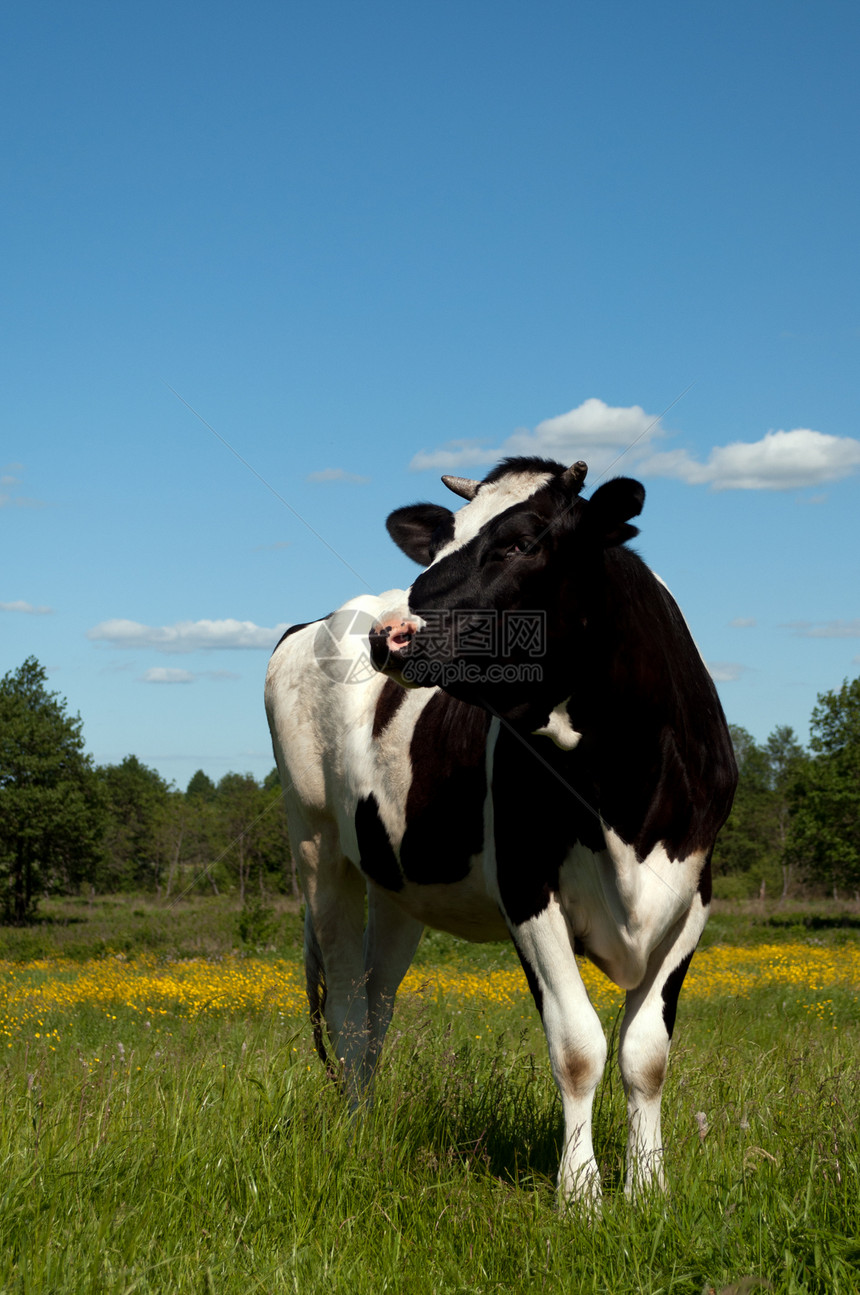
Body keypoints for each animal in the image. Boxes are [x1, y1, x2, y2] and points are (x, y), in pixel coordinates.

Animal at [265, 455, 735, 1201]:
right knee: (344, 1006)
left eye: (519, 543)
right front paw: (580, 1195)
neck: (621, 786)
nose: (390, 634)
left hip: (398, 884)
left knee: (375, 1000)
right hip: (316, 846)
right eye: (443, 540)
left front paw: (648, 1188)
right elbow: (578, 1046)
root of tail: (321, 619)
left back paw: (370, 1121)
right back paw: (355, 1133)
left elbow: (646, 1054)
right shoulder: (526, 886)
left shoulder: (694, 895)